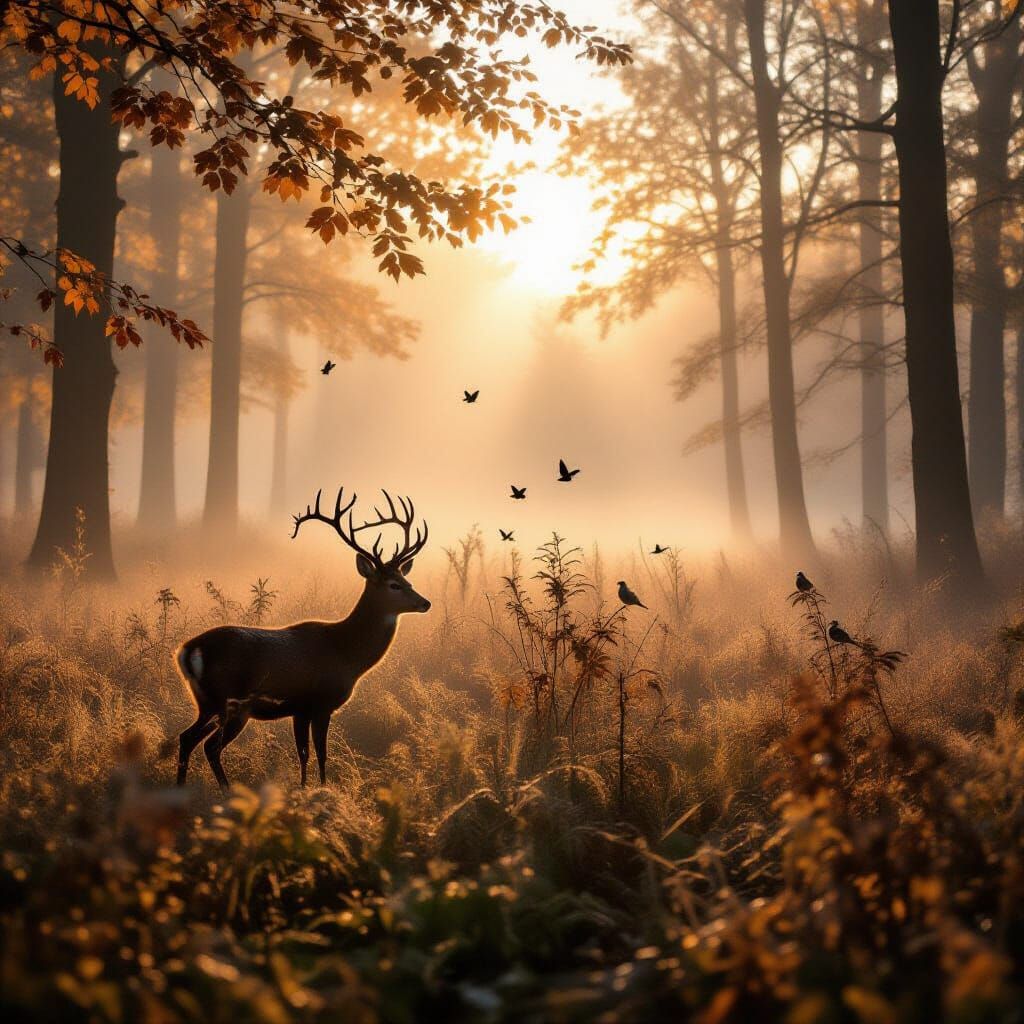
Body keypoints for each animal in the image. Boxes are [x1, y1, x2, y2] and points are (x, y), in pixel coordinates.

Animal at [174, 487, 430, 789]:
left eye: (408, 580)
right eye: (394, 585)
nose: (425, 603)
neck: (347, 653)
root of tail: (188, 650)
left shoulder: (300, 709)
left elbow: (303, 754)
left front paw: (304, 788)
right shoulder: (320, 703)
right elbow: (319, 753)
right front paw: (320, 788)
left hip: (207, 702)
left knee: (187, 738)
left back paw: (179, 788)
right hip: (232, 702)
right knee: (210, 746)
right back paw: (224, 791)